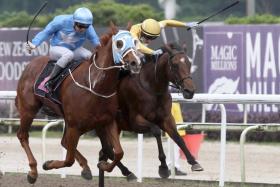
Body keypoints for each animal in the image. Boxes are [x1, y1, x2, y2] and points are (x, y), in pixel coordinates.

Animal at [15, 23, 140, 184]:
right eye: (119, 43)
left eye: (135, 42)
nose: (135, 62)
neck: (95, 86)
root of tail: (29, 65)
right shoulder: (75, 125)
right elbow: (69, 160)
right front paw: (48, 164)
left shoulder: (107, 121)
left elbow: (118, 152)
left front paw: (105, 166)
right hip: (28, 109)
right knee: (23, 135)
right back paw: (33, 171)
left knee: (64, 142)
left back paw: (86, 168)